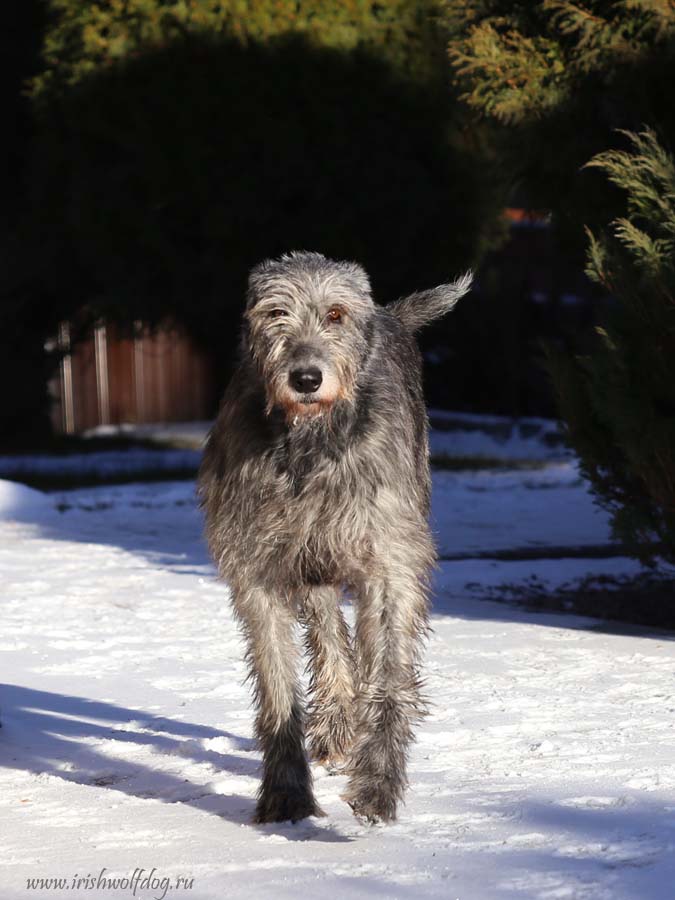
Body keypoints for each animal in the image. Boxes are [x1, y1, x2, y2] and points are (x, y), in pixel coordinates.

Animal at [198, 251, 472, 824]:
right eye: (275, 313)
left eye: (336, 315)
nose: (305, 377)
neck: (310, 443)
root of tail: (391, 313)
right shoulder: (258, 568)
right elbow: (278, 688)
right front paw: (286, 794)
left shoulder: (388, 555)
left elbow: (388, 675)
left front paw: (378, 784)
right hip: (313, 560)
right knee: (329, 637)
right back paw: (336, 721)